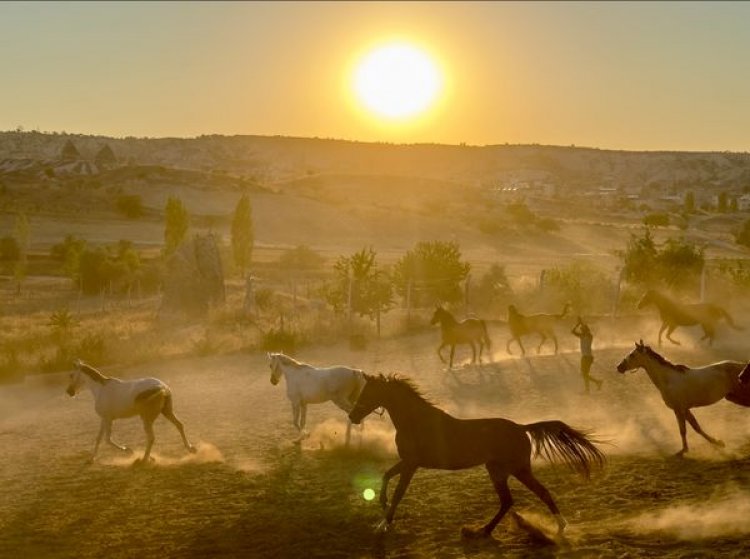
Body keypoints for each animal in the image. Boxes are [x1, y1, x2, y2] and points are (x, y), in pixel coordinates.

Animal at [67, 358, 197, 464]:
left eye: (71, 375)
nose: (69, 392)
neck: (101, 390)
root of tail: (162, 388)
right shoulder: (104, 419)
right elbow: (99, 438)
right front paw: (91, 459)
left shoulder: (108, 419)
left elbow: (107, 440)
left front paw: (129, 451)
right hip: (166, 411)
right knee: (179, 425)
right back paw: (190, 449)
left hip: (147, 418)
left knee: (151, 437)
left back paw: (144, 460)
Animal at [350, 376, 608, 540]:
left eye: (369, 392)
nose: (353, 416)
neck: (417, 422)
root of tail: (521, 428)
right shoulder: (409, 462)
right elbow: (386, 477)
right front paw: (382, 510)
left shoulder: (412, 465)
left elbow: (398, 493)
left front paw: (383, 524)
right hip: (500, 470)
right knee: (512, 500)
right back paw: (484, 531)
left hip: (515, 469)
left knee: (534, 494)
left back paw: (557, 528)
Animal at [616, 344, 750, 458]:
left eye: (632, 355)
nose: (619, 367)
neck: (669, 380)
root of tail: (742, 368)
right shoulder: (682, 409)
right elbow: (692, 428)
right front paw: (716, 443)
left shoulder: (680, 409)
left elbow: (687, 429)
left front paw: (684, 450)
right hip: (732, 397)